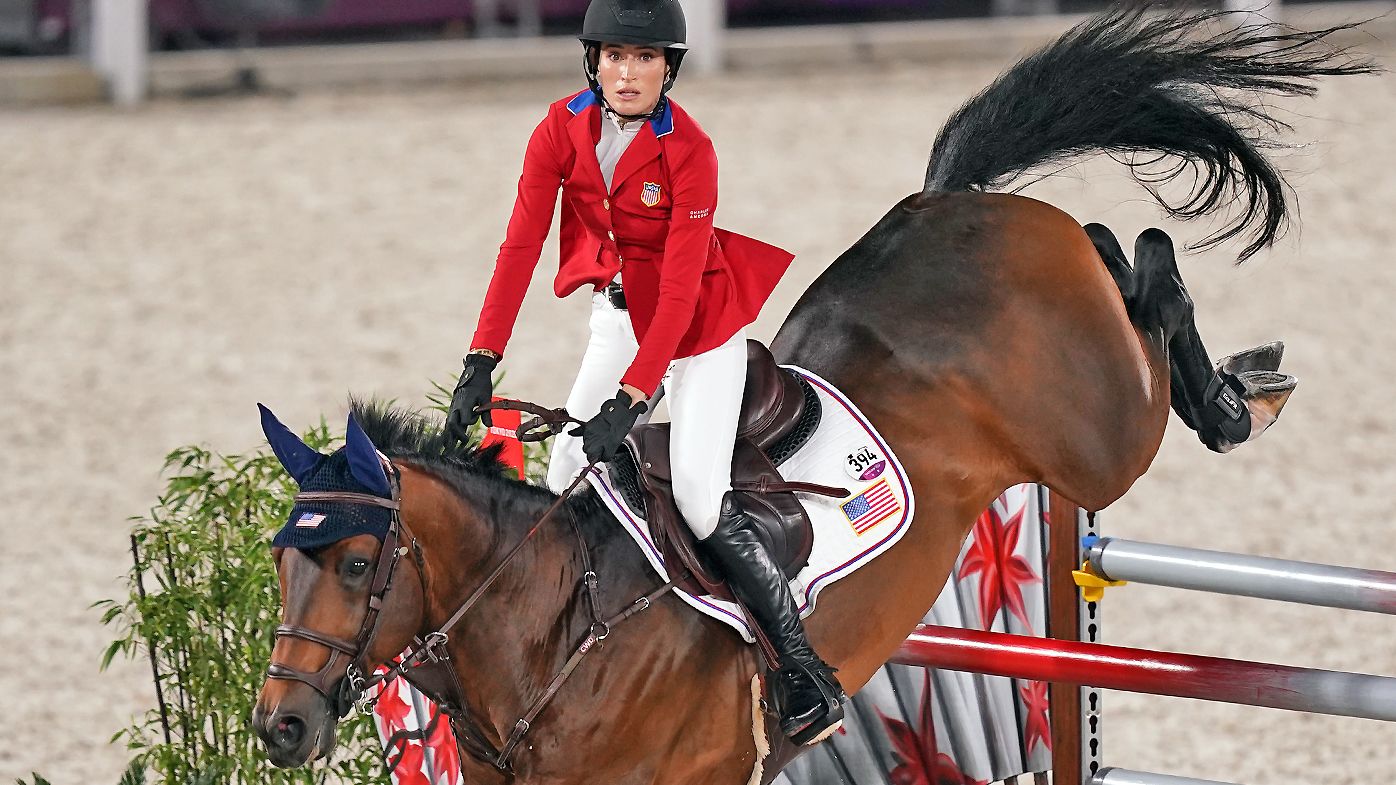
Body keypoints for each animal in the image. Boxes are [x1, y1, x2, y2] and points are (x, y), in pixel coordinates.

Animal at [251, 7, 1373, 782]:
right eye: (280, 562)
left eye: (358, 563)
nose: (280, 725)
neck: (547, 642)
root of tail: (946, 203)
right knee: (1115, 248)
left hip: (1100, 435)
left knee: (1144, 272)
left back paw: (1242, 391)